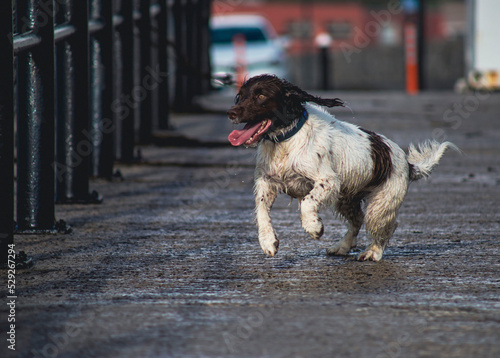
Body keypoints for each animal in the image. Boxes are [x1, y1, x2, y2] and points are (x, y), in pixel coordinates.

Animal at [227, 75, 458, 260]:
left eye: (261, 96)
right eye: (240, 95)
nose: (231, 113)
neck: (285, 141)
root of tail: (407, 164)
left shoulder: (327, 181)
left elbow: (307, 203)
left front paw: (314, 227)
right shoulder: (266, 182)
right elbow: (261, 210)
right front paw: (268, 241)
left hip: (381, 203)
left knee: (386, 226)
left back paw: (372, 252)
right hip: (346, 198)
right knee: (357, 221)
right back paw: (342, 247)